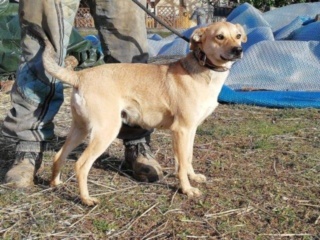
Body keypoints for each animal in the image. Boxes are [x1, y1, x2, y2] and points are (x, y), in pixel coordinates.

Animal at [28, 20, 248, 205]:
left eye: (238, 36)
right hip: (106, 131)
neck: (203, 70)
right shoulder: (182, 130)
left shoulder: (190, 130)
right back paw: (86, 199)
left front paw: (193, 177)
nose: (238, 50)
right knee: (81, 165)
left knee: (59, 156)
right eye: (219, 36)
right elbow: (182, 164)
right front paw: (186, 189)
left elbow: (187, 158)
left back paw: (55, 184)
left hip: (80, 129)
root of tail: (79, 75)